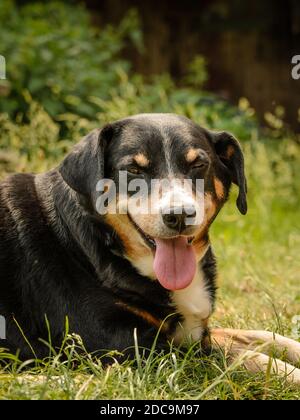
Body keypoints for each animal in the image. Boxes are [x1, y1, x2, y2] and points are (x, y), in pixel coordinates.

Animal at [0, 113, 300, 382]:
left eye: (198, 164)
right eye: (133, 170)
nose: (179, 215)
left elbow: (257, 336)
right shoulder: (132, 349)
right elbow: (243, 355)